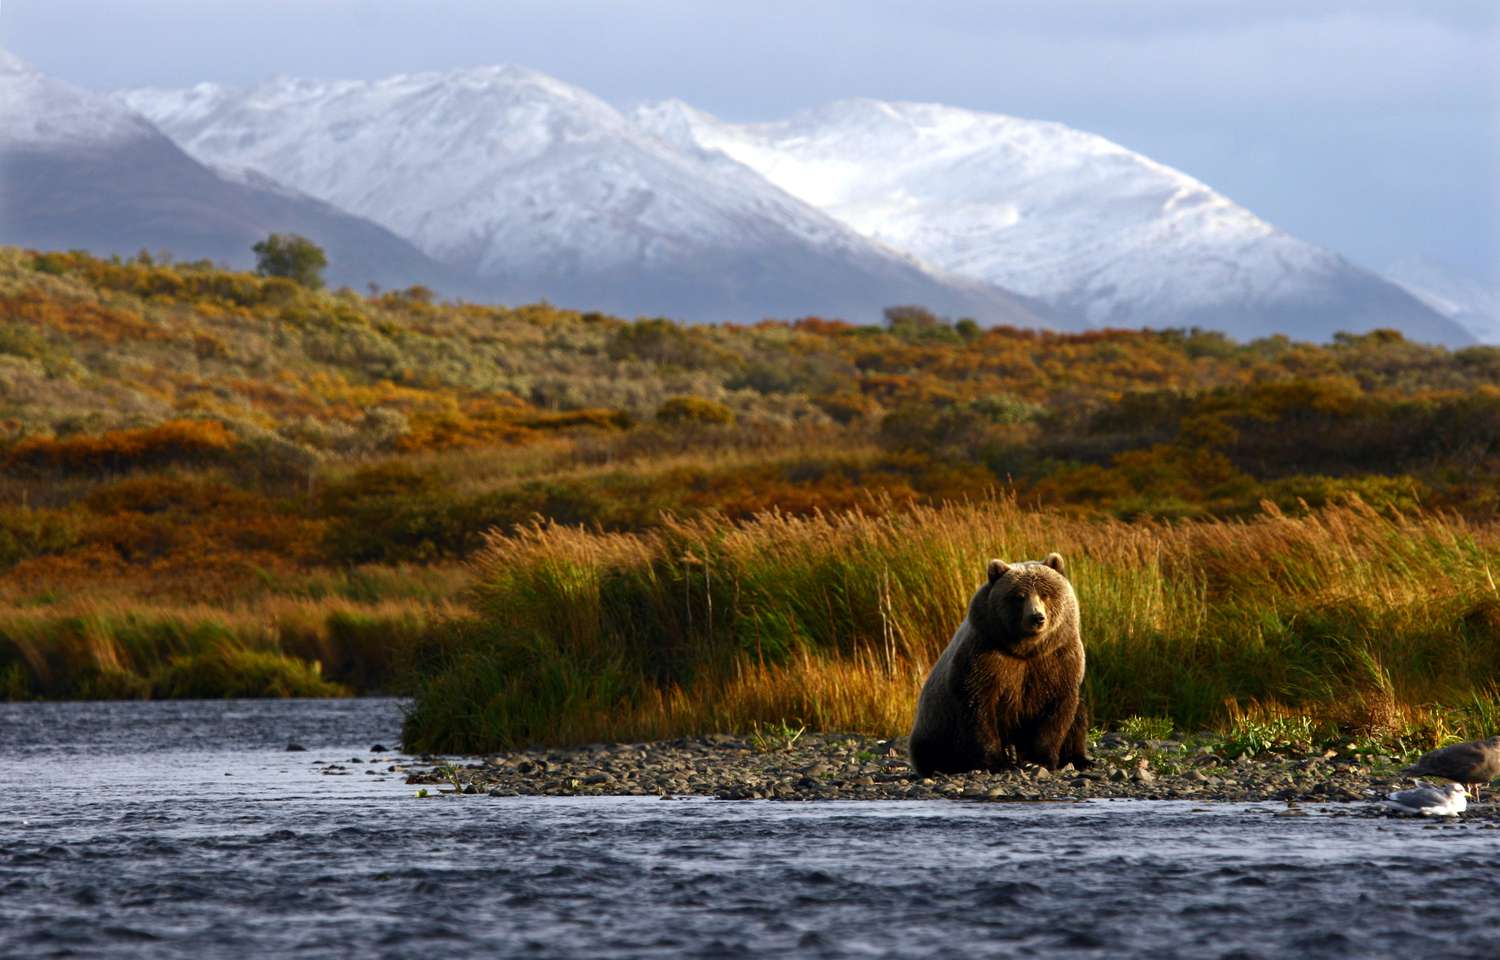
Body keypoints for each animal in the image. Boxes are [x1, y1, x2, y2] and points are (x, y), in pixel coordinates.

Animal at [900, 552, 1092, 774]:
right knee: (934, 749)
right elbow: (979, 709)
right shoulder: (986, 657)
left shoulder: (1057, 658)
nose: (1036, 617)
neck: (1026, 649)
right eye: (1019, 596)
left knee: (1079, 716)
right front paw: (996, 762)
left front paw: (1039, 760)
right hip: (936, 724)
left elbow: (1057, 711)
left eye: (1045, 593)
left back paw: (1080, 759)